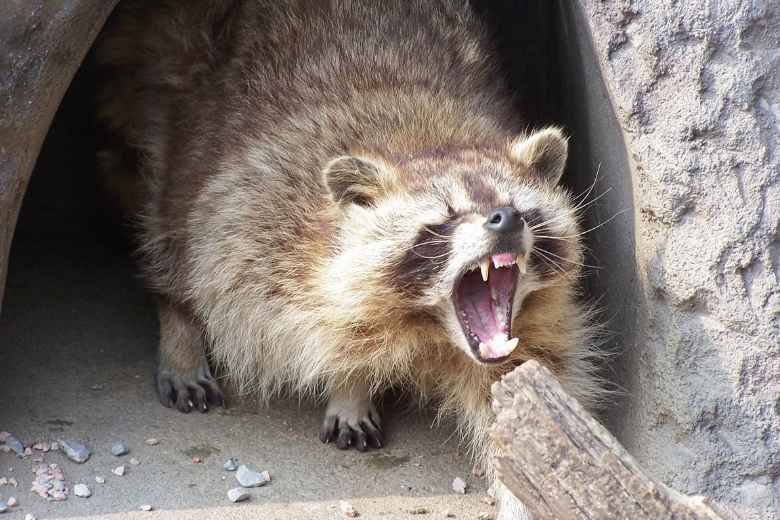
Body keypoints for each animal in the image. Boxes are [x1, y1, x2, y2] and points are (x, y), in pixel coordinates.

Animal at [97, 0, 602, 516]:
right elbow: (275, 306)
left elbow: (528, 397)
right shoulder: (260, 213)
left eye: (520, 208)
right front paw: (350, 379)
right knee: (173, 218)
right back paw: (177, 320)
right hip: (179, 87)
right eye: (446, 217)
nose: (506, 221)